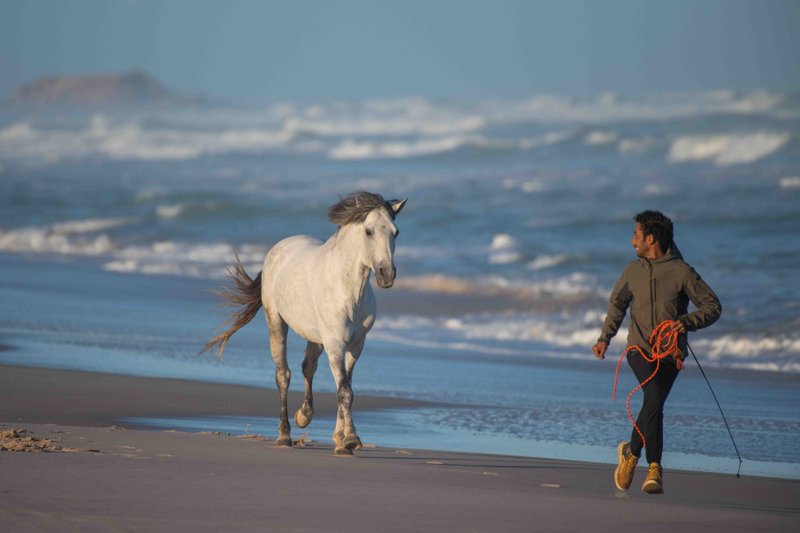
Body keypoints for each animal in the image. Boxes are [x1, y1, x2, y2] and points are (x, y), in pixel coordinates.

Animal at [202, 191, 406, 455]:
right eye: (369, 231)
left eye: (395, 232)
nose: (386, 274)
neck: (348, 290)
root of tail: (279, 248)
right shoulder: (334, 343)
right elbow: (344, 391)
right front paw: (350, 440)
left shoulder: (356, 344)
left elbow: (345, 386)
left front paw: (341, 438)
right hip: (276, 323)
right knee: (283, 375)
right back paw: (284, 435)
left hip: (314, 336)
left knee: (307, 367)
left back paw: (304, 416)